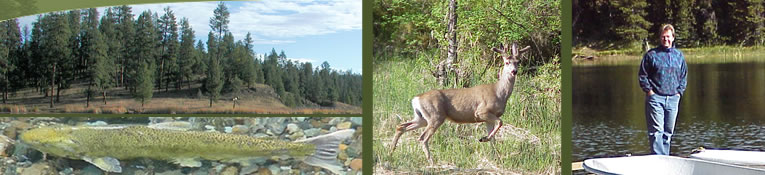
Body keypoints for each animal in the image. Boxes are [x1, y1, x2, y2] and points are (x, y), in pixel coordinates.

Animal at [390, 42, 528, 163]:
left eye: (518, 62)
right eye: (506, 62)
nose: (514, 71)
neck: (499, 92)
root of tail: (416, 99)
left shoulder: (488, 118)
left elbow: (493, 138)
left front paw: (495, 156)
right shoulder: (481, 111)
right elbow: (500, 122)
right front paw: (484, 139)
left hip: (422, 118)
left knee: (401, 126)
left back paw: (391, 151)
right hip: (436, 116)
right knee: (422, 138)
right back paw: (431, 161)